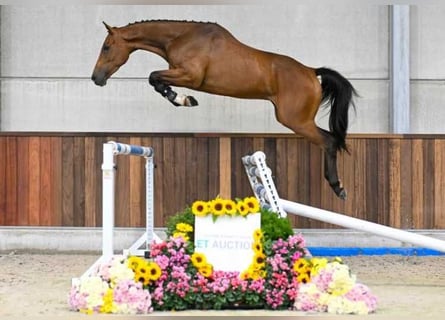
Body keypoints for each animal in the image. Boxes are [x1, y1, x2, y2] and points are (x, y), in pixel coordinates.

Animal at [92, 19, 356, 200]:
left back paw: (338, 187)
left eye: (106, 47)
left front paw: (183, 99)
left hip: (295, 120)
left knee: (329, 141)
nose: (96, 78)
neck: (180, 37)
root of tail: (311, 72)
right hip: (299, 120)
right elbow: (155, 79)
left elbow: (153, 77)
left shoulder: (190, 76)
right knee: (331, 140)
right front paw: (182, 99)